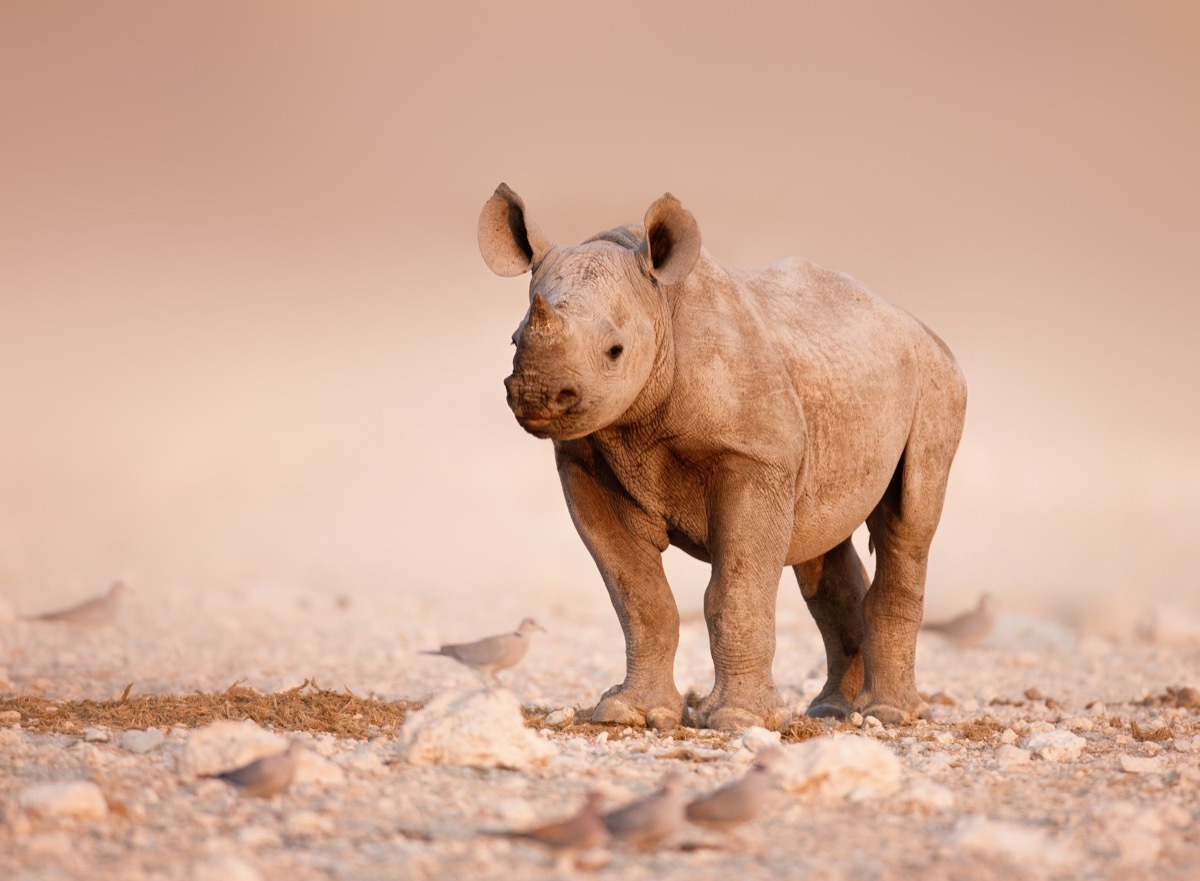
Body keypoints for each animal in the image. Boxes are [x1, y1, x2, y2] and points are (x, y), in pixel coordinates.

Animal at [477, 184, 964, 729]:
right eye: (514, 340)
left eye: (615, 351)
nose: (537, 395)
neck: (659, 306)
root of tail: (915, 323)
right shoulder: (585, 464)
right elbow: (639, 597)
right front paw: (626, 712)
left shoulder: (754, 458)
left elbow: (734, 592)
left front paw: (737, 719)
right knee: (821, 540)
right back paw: (831, 711)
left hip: (937, 379)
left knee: (907, 524)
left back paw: (888, 713)